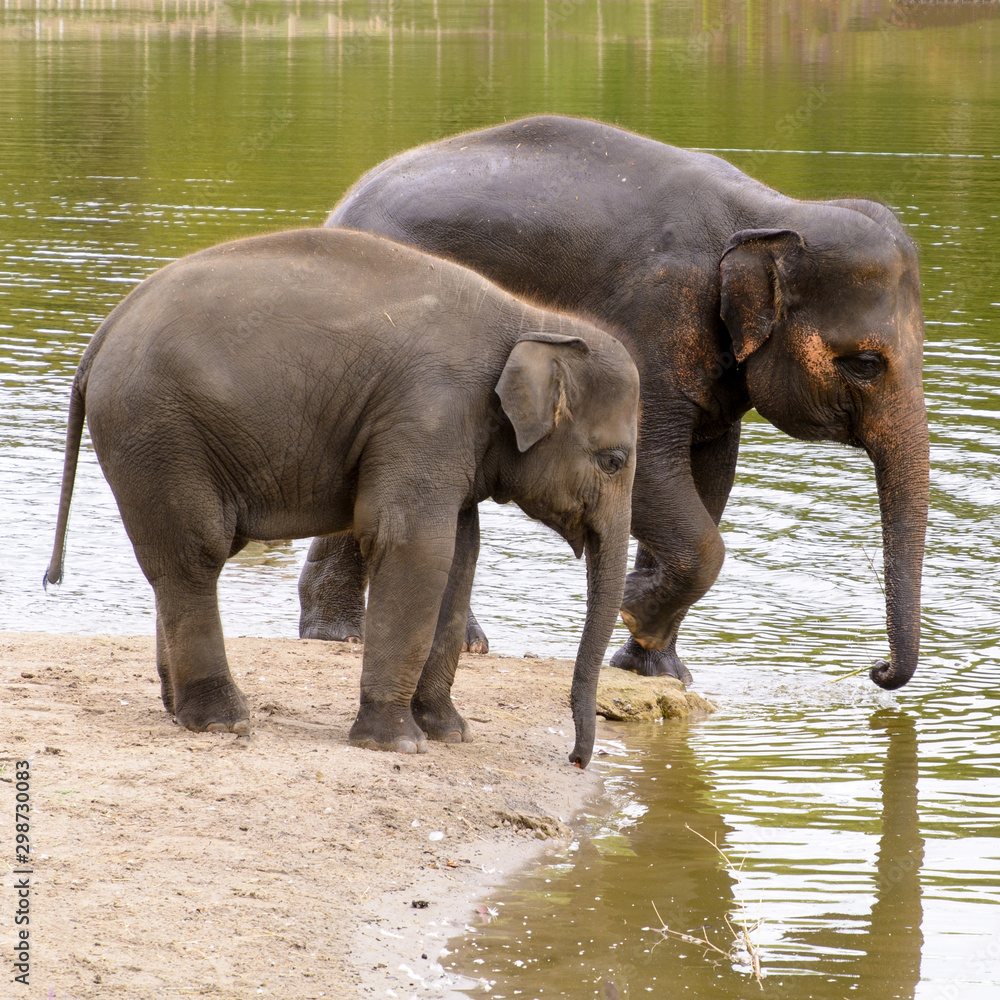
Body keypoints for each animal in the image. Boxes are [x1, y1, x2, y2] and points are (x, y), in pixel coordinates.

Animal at [44, 227, 639, 767]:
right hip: (159, 432)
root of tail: (101, 336)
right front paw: (397, 744)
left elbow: (461, 552)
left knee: (176, 561)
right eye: (613, 461)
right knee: (195, 554)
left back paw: (178, 710)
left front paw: (449, 732)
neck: (529, 320)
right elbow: (412, 544)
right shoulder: (429, 409)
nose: (577, 760)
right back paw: (223, 722)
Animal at [305, 114, 928, 691]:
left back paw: (380, 636)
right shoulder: (651, 315)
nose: (877, 670)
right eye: (865, 364)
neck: (769, 212)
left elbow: (711, 475)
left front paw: (658, 669)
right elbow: (649, 466)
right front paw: (635, 609)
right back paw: (355, 637)